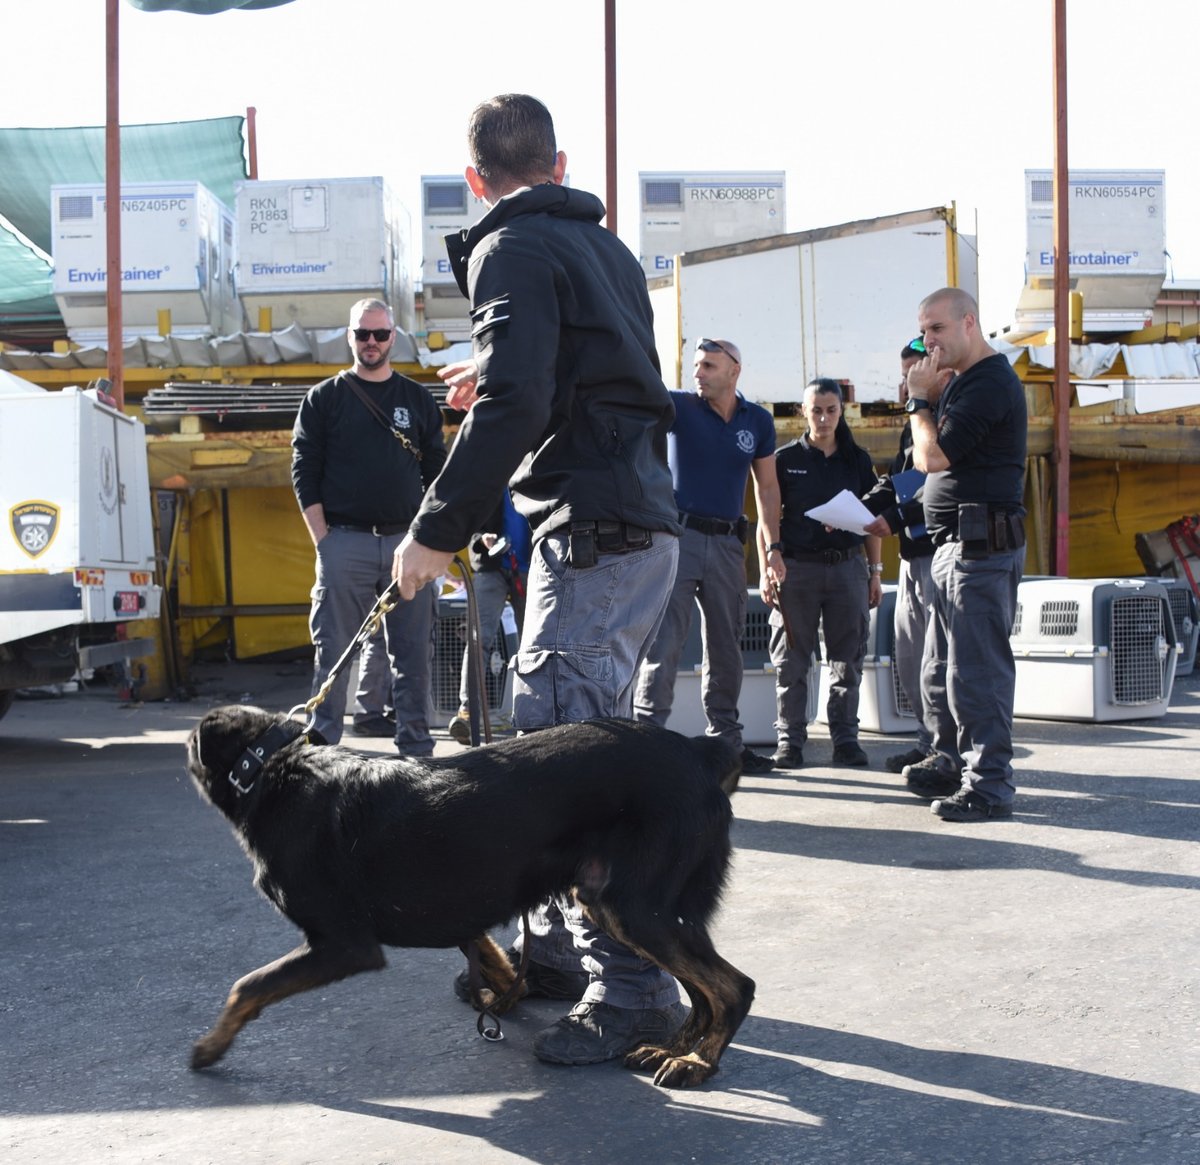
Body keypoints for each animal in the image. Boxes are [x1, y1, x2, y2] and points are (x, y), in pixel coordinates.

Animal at [183, 705, 753, 1089]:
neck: (271, 768)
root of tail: (697, 750)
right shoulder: (462, 917)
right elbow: (494, 961)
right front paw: (503, 998)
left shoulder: (342, 944)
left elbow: (249, 985)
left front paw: (210, 1047)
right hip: (627, 909)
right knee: (702, 991)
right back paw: (670, 1048)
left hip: (636, 910)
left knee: (733, 988)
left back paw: (697, 1063)